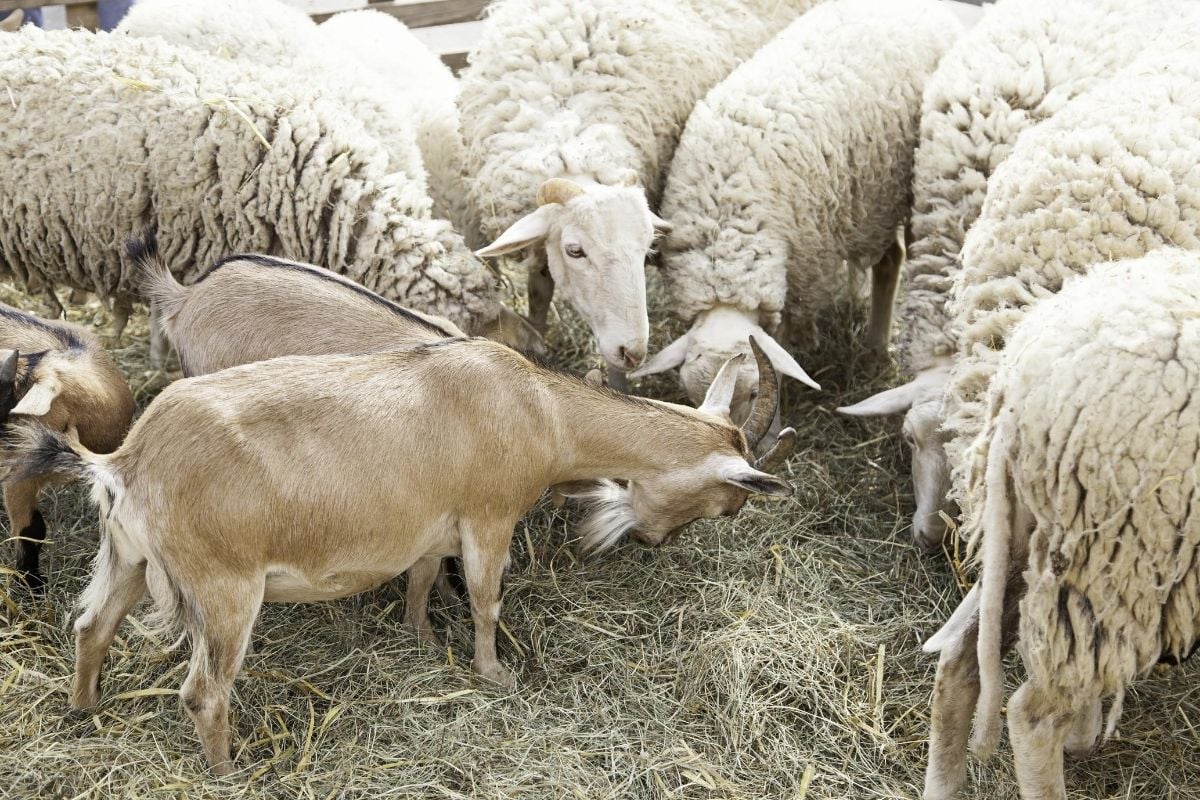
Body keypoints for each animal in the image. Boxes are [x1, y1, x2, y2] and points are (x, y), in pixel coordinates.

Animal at [3, 335, 794, 774]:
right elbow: (485, 597)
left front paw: (420, 638)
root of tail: (127, 463)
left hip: (128, 557)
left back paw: (83, 710)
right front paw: (495, 674)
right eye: (727, 503)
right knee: (202, 691)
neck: (541, 409)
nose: (658, 541)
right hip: (225, 586)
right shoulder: (488, 517)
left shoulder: (430, 525)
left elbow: (419, 579)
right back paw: (228, 771)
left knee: (91, 628)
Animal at [632, 0, 960, 424]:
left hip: (887, 192)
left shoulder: (805, 267)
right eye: (690, 394)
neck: (727, 231)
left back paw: (875, 347)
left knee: (892, 261)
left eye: (754, 392)